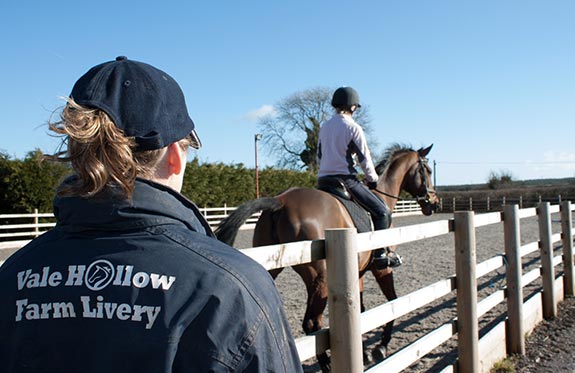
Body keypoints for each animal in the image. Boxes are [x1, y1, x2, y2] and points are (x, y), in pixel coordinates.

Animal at [217, 143, 440, 370]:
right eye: (427, 171)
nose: (434, 202)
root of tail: (281, 200)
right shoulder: (382, 269)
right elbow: (392, 302)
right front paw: (381, 347)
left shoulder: (358, 272)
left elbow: (361, 310)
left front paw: (364, 352)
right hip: (319, 278)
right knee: (312, 323)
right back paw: (328, 366)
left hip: (270, 268)